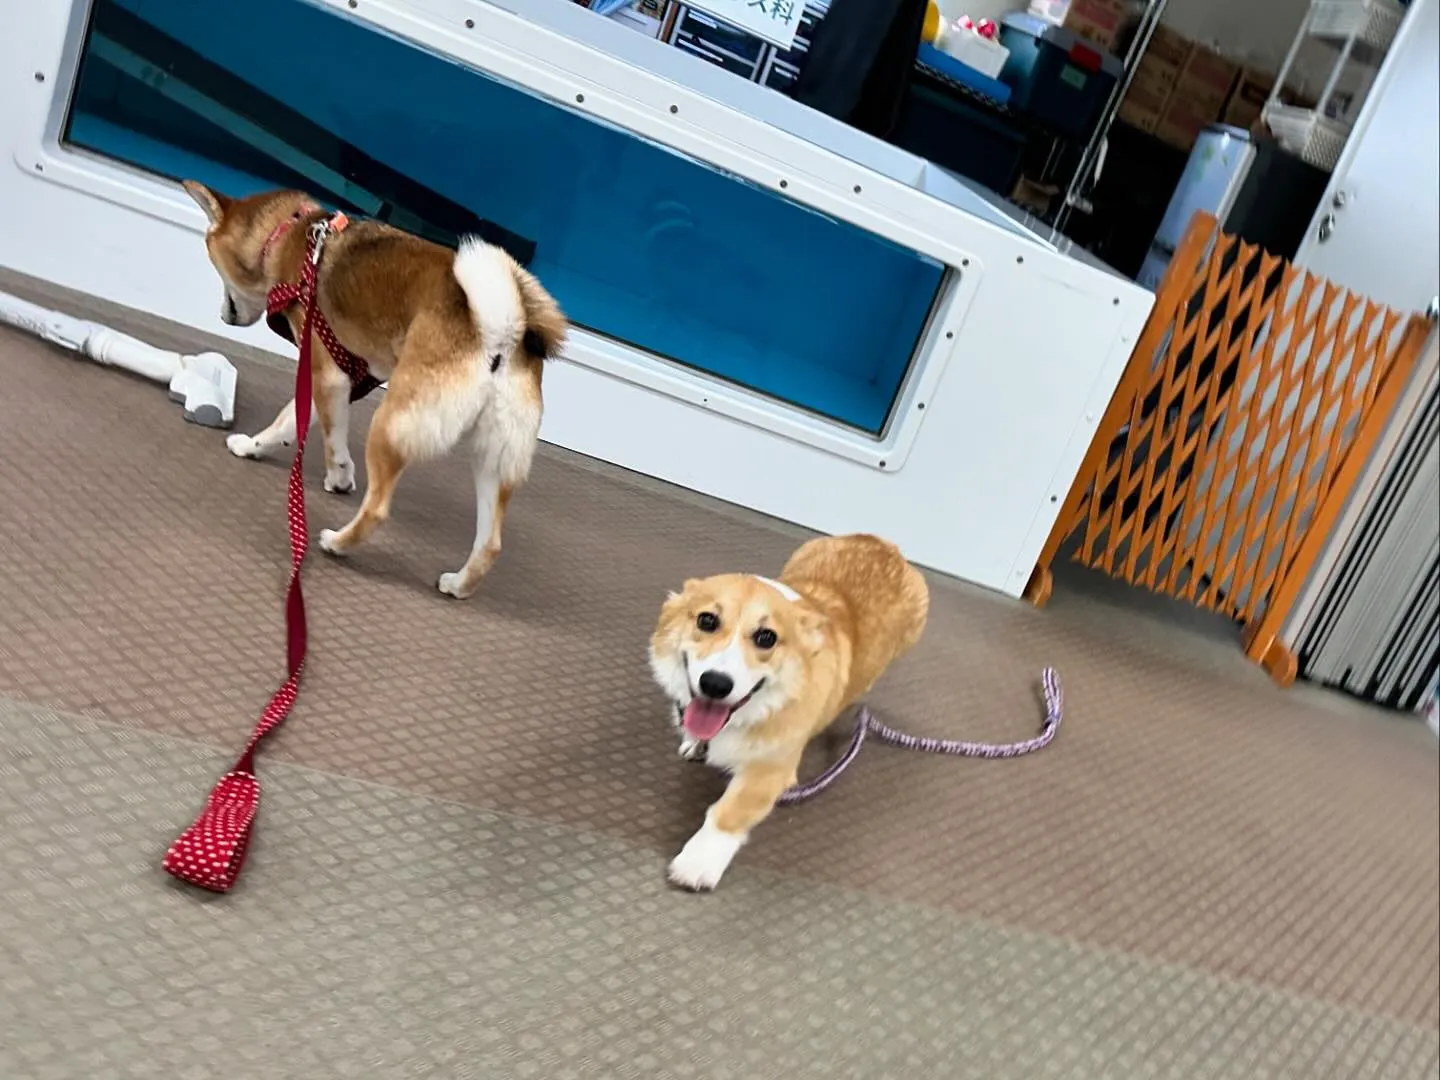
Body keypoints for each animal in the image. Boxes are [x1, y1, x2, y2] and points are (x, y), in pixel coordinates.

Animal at [187, 180, 573, 596]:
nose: (222, 315)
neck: (294, 237)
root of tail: (499, 333)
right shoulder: (334, 379)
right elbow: (288, 422)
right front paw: (252, 446)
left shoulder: (325, 374)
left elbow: (330, 440)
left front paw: (338, 476)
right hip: (493, 457)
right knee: (490, 543)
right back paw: (458, 584)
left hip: (391, 425)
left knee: (377, 508)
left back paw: (337, 542)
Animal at [648, 535, 927, 898]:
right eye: (706, 620)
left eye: (766, 637)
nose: (715, 684)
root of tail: (885, 545)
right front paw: (694, 742)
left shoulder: (771, 770)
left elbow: (728, 814)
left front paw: (698, 863)